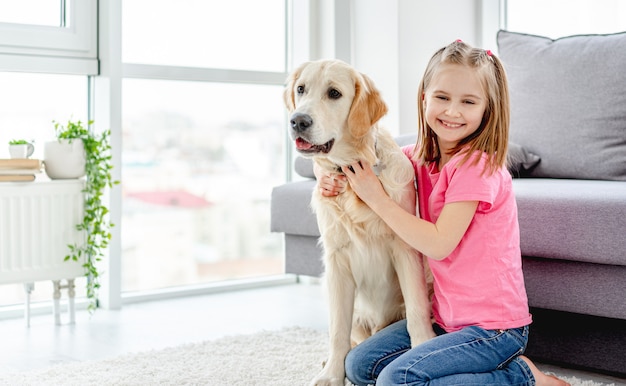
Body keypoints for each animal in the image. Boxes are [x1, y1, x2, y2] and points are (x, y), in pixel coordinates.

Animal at [284, 58, 434, 384]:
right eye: (301, 89)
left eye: (334, 94)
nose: (298, 121)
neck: (351, 172)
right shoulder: (337, 261)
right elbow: (337, 331)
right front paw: (332, 375)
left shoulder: (405, 248)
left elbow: (417, 310)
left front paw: (423, 348)